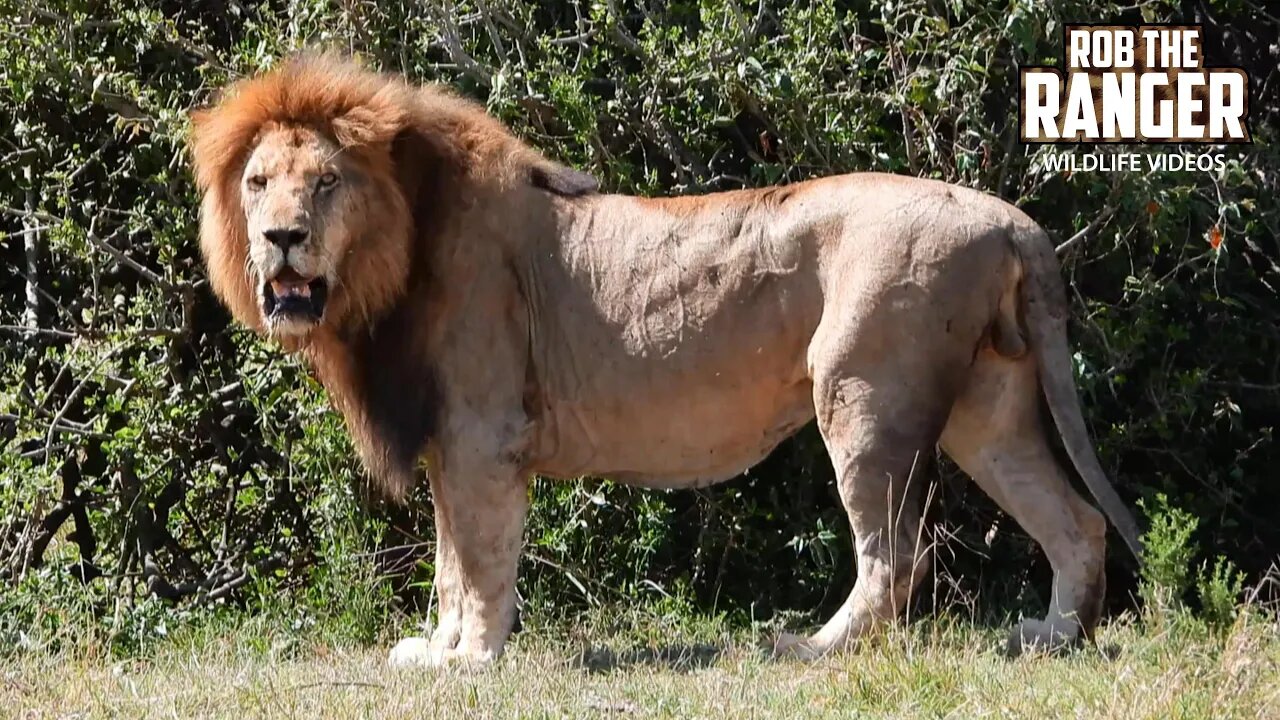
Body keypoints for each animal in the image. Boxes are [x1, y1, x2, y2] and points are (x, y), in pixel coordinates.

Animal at [186, 53, 1141, 666]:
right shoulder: (449, 445)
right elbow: (453, 560)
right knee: (1074, 519)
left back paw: (810, 647)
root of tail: (1011, 218)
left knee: (896, 552)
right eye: (258, 184)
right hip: (989, 405)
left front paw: (474, 658)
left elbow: (481, 559)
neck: (395, 255)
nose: (281, 239)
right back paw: (1053, 639)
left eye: (326, 183)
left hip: (867, 395)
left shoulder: (481, 432)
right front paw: (439, 649)